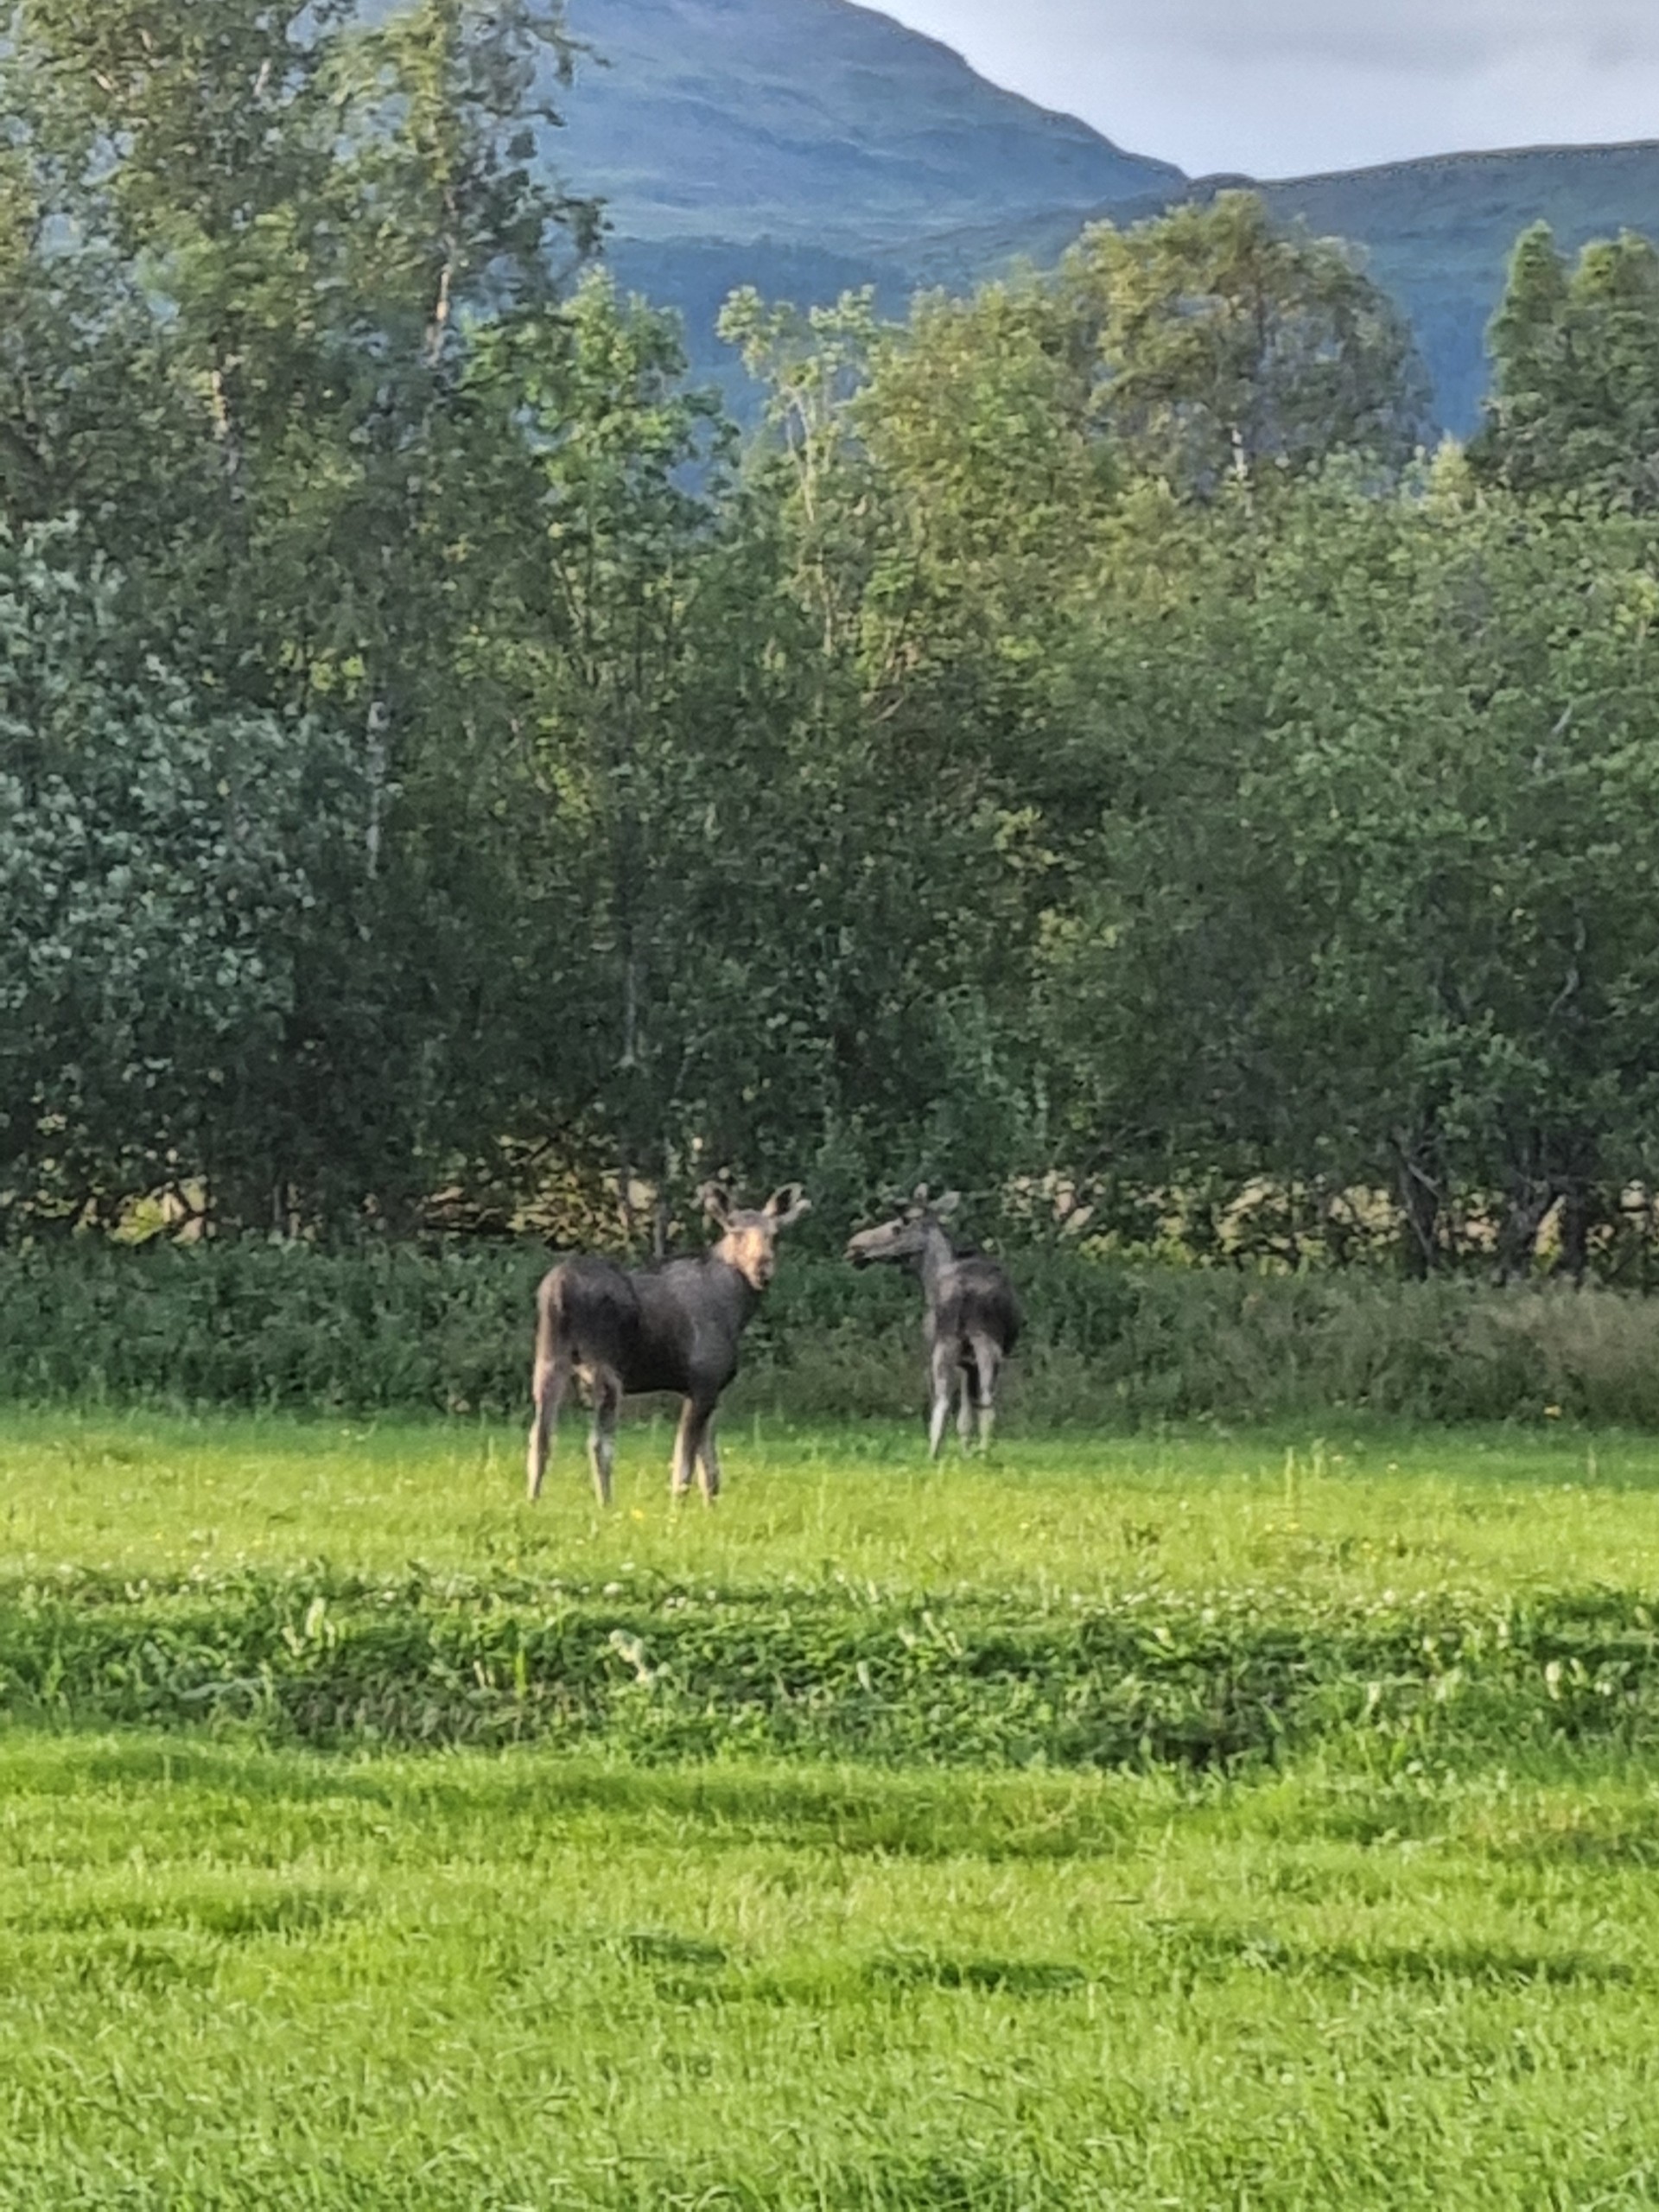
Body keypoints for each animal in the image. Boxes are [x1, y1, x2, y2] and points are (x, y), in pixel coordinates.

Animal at [526, 1182, 811, 1506]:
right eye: (736, 1232)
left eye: (774, 1235)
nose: (762, 1271)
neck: (737, 1308)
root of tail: (559, 1288)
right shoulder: (703, 1384)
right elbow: (684, 1463)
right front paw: (678, 1508)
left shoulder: (704, 1390)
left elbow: (710, 1468)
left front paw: (710, 1508)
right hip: (605, 1371)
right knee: (598, 1443)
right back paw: (606, 1505)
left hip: (549, 1360)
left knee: (540, 1437)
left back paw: (532, 1502)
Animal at [844, 1186, 1020, 1456]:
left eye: (899, 1225)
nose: (854, 1245)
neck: (929, 1277)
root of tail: (964, 1289)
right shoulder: (967, 1362)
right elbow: (967, 1413)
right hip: (979, 1345)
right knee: (983, 1400)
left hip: (954, 1343)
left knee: (949, 1402)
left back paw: (940, 1454)